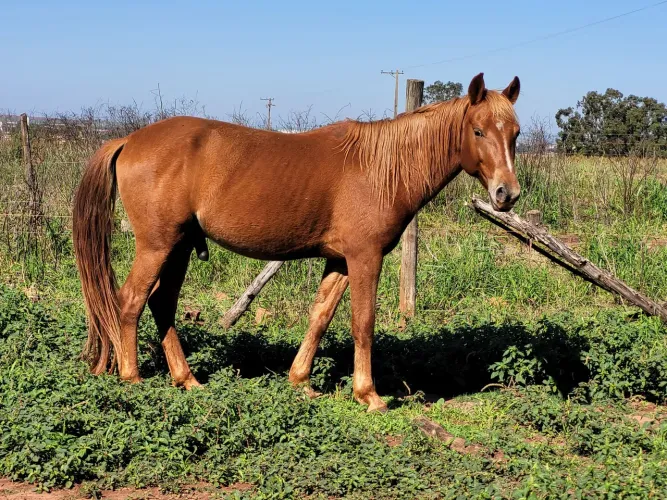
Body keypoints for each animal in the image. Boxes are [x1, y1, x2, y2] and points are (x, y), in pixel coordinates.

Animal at [72, 72, 521, 412]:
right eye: (478, 130)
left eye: (515, 133)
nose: (507, 194)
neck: (380, 167)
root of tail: (129, 140)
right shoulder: (365, 257)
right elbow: (363, 323)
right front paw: (369, 395)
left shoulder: (339, 260)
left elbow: (320, 317)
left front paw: (301, 380)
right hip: (157, 245)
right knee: (130, 300)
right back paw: (132, 378)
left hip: (179, 247)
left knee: (162, 304)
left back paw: (188, 380)